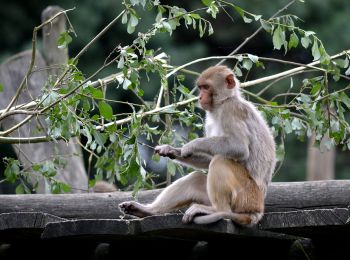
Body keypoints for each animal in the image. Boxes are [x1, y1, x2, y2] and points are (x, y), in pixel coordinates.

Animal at [118, 65, 276, 225]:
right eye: (200, 88)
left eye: (206, 87)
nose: (200, 97)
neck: (222, 104)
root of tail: (257, 211)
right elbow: (208, 160)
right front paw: (172, 151)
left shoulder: (231, 110)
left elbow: (239, 148)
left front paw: (191, 146)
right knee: (196, 177)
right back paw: (147, 210)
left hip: (246, 196)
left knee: (220, 160)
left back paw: (218, 210)